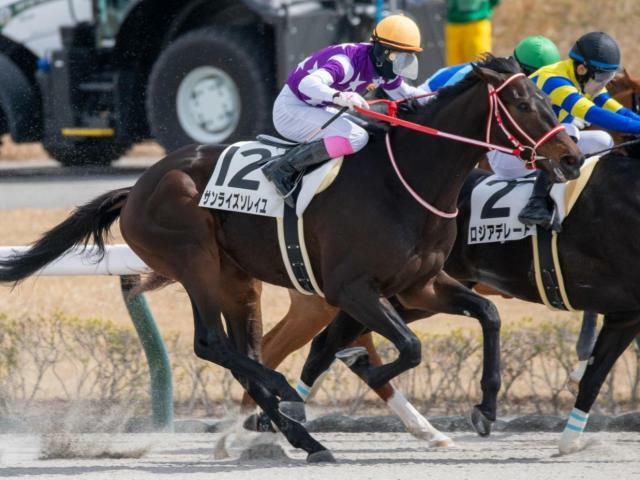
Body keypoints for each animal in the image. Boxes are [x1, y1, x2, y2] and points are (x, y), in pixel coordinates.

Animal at [0, 56, 580, 462]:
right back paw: (285, 402)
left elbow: (489, 314)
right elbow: (407, 347)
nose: (571, 157)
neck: (404, 181)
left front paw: (484, 409)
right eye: (523, 103)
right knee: (213, 344)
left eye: (545, 98)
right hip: (195, 261)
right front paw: (370, 376)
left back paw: (301, 437)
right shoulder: (353, 289)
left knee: (247, 351)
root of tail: (138, 186)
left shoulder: (421, 282)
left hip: (238, 280)